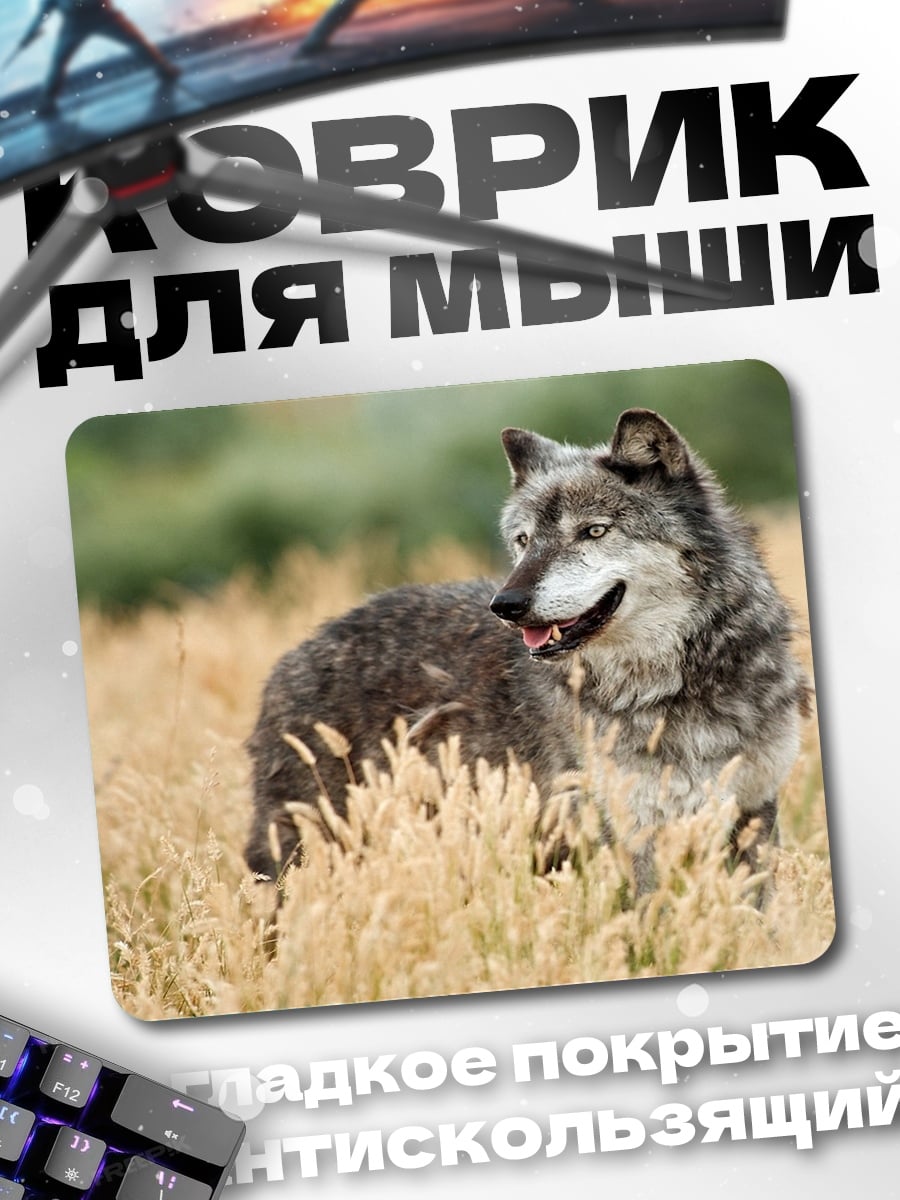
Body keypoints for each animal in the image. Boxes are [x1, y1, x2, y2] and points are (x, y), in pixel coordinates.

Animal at [245, 407, 809, 892]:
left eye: (594, 531)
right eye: (522, 540)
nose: (507, 605)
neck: (671, 686)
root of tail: (292, 657)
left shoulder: (752, 810)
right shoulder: (627, 830)